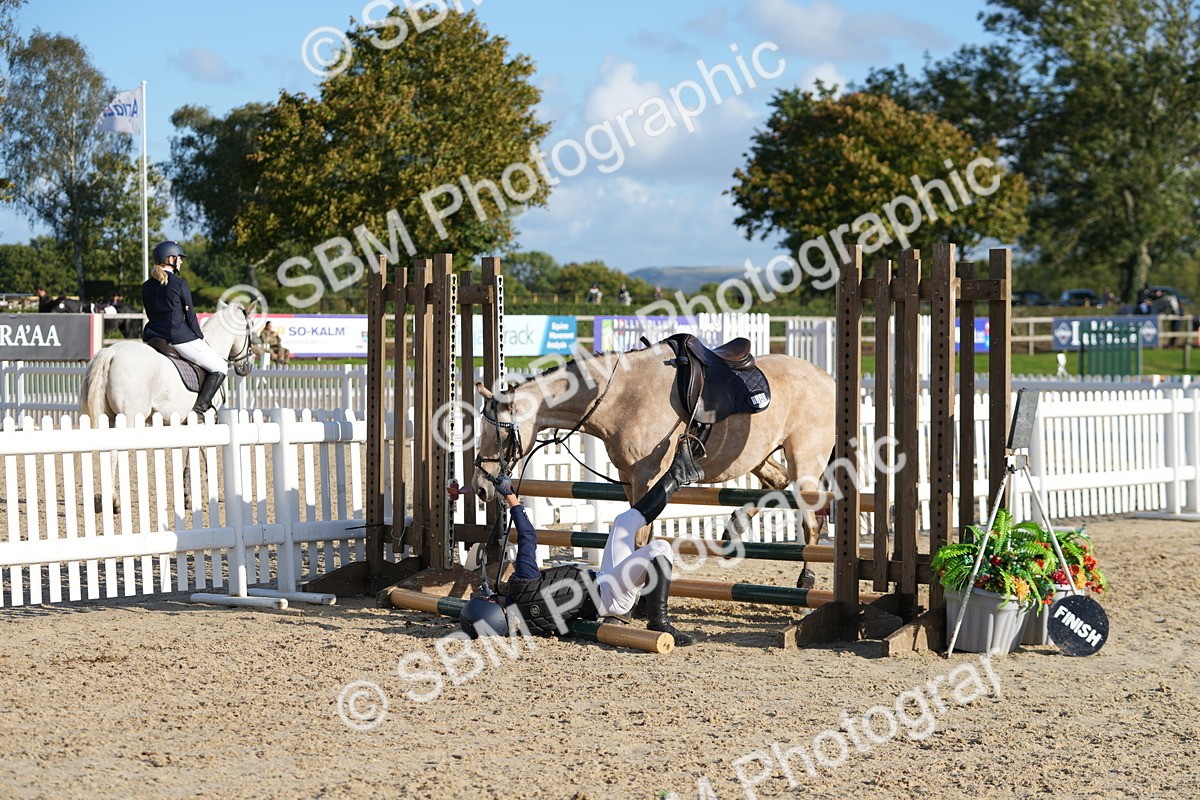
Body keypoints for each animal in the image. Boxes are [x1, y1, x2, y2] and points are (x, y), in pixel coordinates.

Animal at [470, 340, 837, 587]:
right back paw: (736, 525)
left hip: (804, 459)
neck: (617, 396)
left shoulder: (647, 477)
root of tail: (827, 379)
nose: (480, 486)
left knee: (811, 521)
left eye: (500, 434)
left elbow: (638, 537)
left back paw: (806, 578)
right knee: (775, 481)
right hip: (758, 455)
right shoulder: (630, 478)